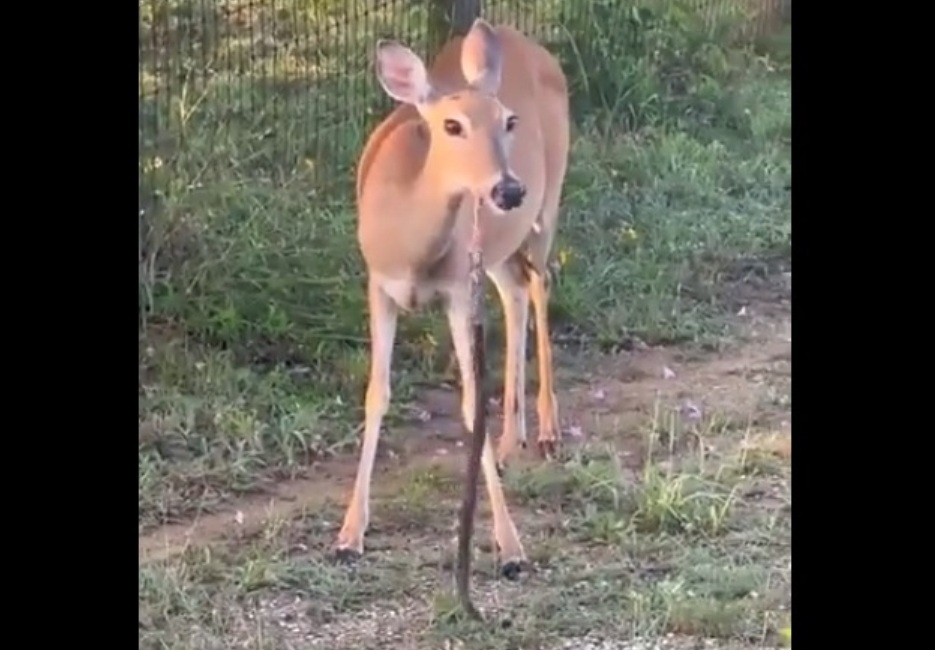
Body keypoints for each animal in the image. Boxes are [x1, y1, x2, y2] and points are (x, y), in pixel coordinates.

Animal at [336, 17, 572, 580]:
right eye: (451, 126)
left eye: (508, 121)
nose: (509, 190)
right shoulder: (378, 284)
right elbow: (376, 393)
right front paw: (349, 534)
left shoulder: (457, 292)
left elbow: (470, 402)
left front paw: (511, 547)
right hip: (498, 249)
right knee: (517, 291)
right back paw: (511, 441)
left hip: (547, 205)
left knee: (540, 283)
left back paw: (547, 431)